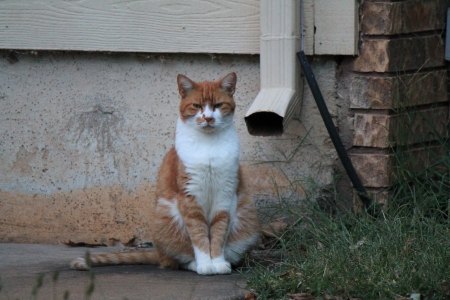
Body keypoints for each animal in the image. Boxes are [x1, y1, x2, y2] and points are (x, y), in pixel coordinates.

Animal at [70, 72, 260, 274]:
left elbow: (218, 233)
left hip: (246, 221)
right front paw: (205, 264)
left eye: (217, 105)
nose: (208, 118)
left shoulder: (224, 195)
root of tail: (158, 253)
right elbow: (198, 234)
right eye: (197, 106)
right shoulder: (190, 196)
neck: (208, 145)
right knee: (174, 260)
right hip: (166, 220)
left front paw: (217, 262)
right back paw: (193, 264)